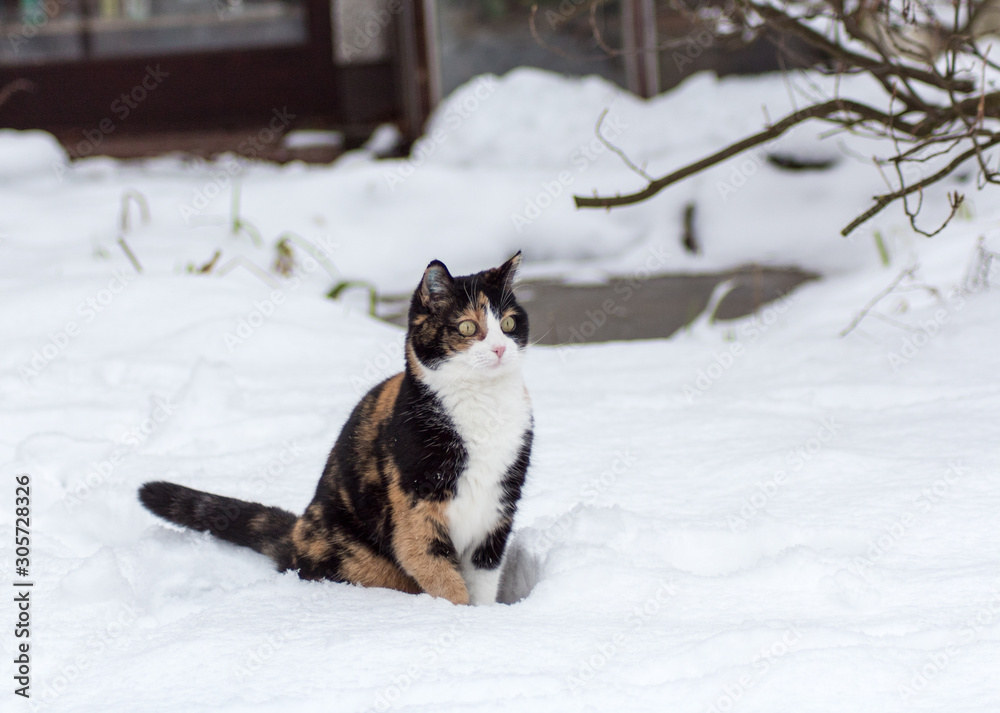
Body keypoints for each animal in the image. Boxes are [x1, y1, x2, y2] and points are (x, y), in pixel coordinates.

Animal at [141, 253, 536, 604]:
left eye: (509, 324)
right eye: (467, 326)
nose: (500, 349)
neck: (483, 407)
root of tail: (298, 532)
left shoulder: (497, 510)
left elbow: (483, 579)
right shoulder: (415, 513)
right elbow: (443, 579)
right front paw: (459, 618)